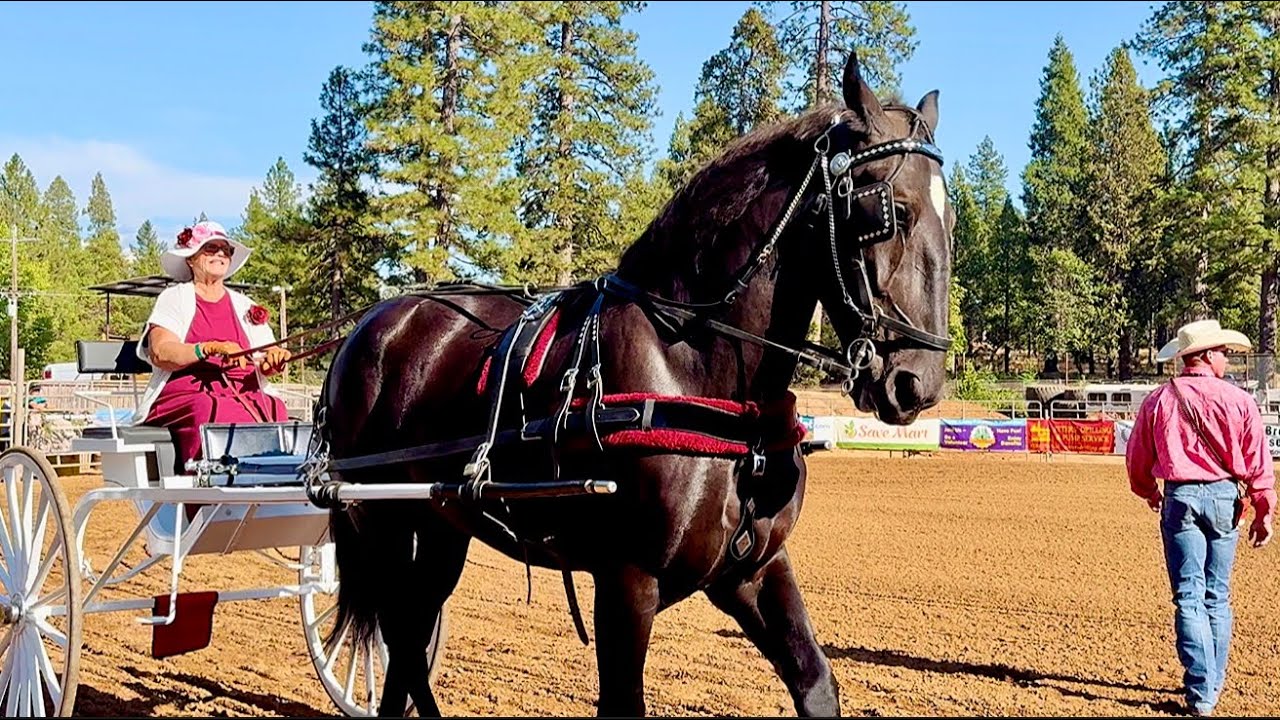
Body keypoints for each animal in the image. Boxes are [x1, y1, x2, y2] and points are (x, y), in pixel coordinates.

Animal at [314, 49, 954, 717]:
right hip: (383, 523)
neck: (696, 372)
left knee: (409, 639)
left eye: (951, 214)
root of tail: (370, 326)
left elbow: (815, 681)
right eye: (891, 210)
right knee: (401, 636)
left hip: (440, 525)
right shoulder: (627, 580)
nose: (919, 384)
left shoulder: (752, 569)